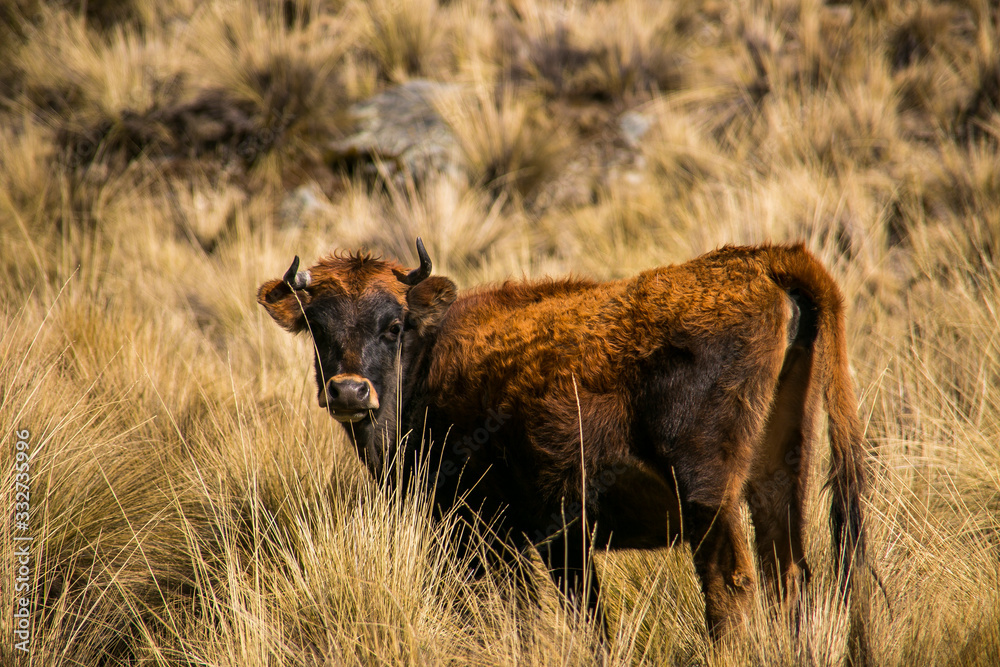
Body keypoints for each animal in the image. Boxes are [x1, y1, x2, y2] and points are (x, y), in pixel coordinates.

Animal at [257, 239, 871, 645]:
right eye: (317, 327)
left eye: (392, 325)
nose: (349, 390)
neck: (430, 359)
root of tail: (760, 260)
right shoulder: (552, 540)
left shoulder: (482, 533)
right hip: (777, 483)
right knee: (789, 578)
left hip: (707, 496)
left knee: (732, 585)